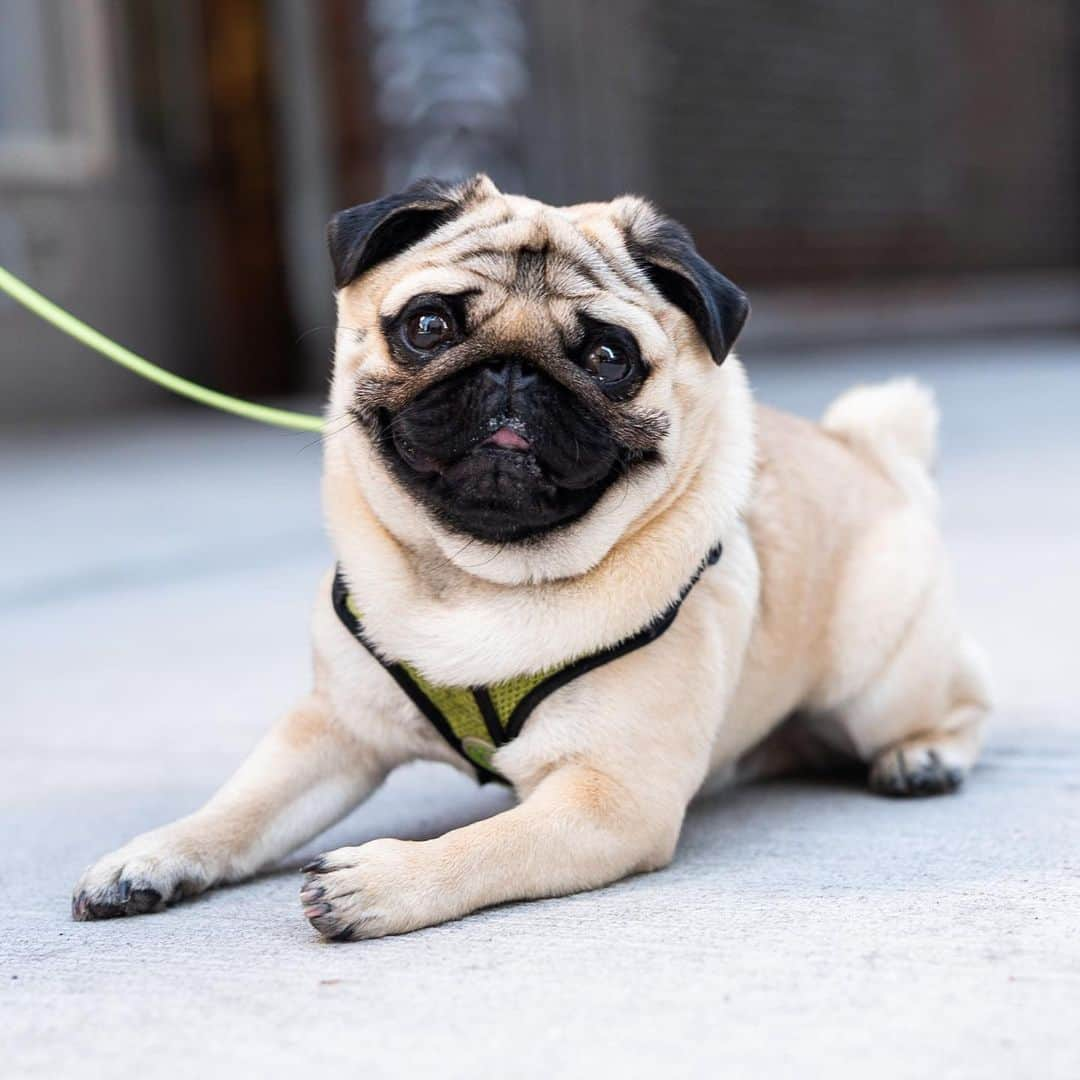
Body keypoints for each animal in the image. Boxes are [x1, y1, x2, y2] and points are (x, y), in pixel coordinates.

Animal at [71, 174, 989, 937]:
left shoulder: (609, 797)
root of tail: (876, 453)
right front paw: (153, 855)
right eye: (428, 325)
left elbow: (487, 845)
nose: (513, 373)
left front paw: (385, 881)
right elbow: (241, 806)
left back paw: (924, 756)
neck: (475, 575)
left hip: (878, 677)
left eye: (610, 358)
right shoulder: (333, 731)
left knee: (961, 702)